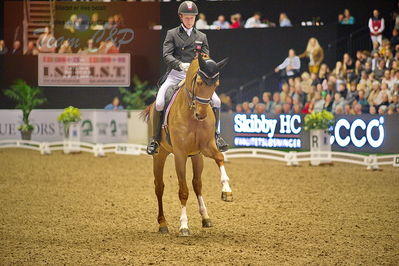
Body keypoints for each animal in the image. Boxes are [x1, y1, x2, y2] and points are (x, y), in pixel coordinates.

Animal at [142, 54, 233, 237]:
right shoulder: (180, 154)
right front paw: (184, 225)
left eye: (216, 85)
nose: (201, 115)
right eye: (198, 82)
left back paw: (205, 217)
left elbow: (220, 158)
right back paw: (162, 224)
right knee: (159, 187)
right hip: (160, 155)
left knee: (197, 184)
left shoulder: (206, 147)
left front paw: (227, 191)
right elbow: (183, 191)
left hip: (197, 157)